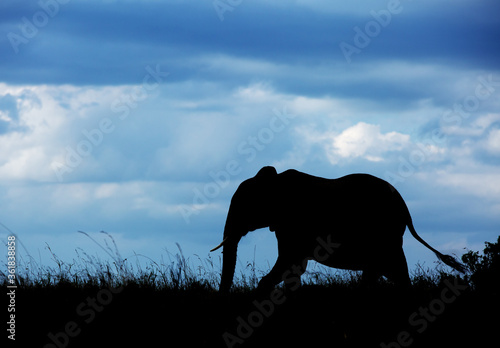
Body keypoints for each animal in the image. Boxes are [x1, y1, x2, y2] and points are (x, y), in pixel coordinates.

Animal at [210, 167, 464, 292]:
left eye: (244, 206)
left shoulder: (296, 222)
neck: (274, 181)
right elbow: (293, 268)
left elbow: (288, 261)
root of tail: (405, 209)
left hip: (383, 232)